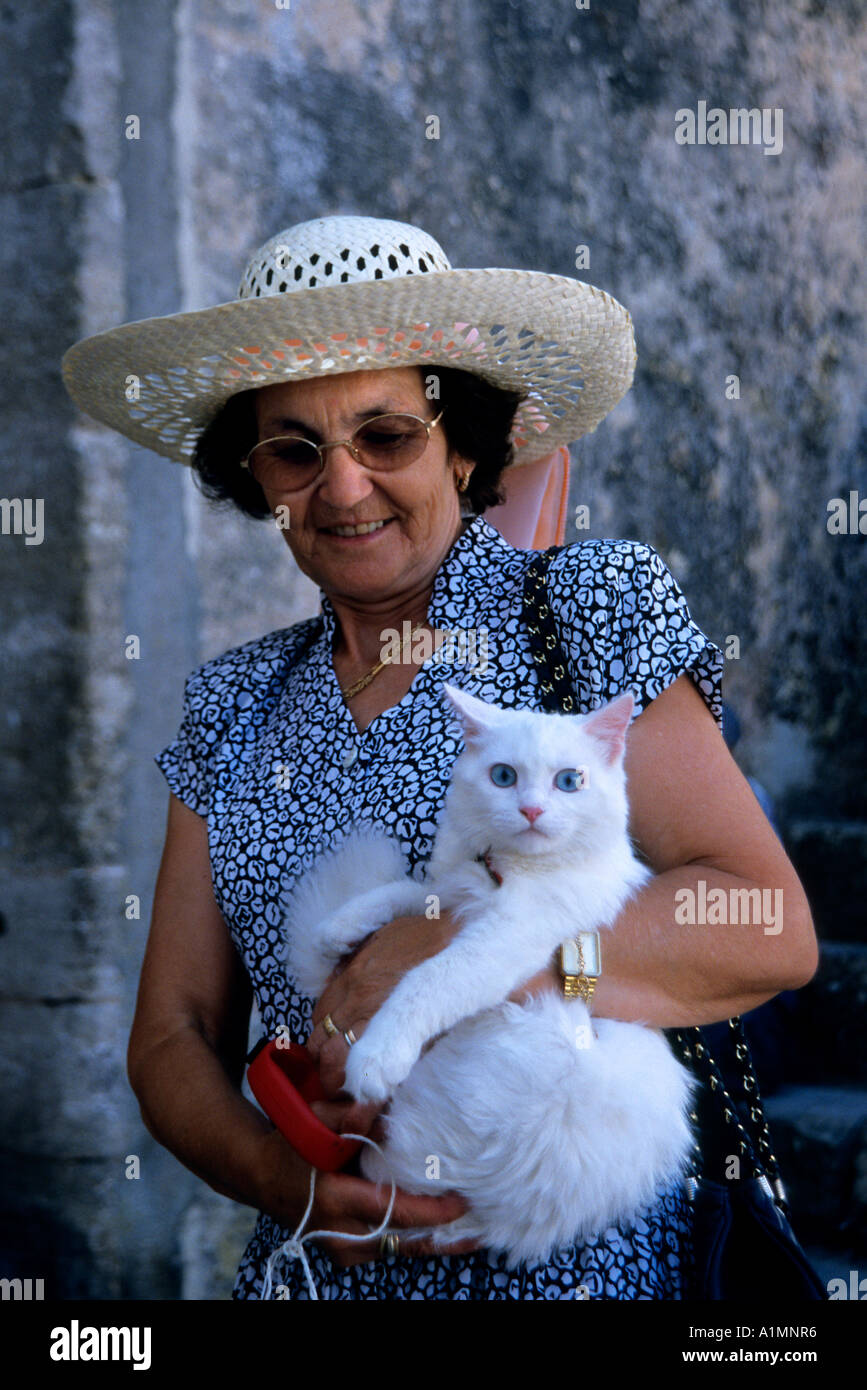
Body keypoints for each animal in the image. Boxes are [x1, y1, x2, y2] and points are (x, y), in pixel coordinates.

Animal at [287, 686, 694, 1273]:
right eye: (503, 776)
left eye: (568, 781)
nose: (531, 810)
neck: (509, 870)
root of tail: (497, 1216)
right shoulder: (452, 894)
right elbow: (407, 892)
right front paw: (339, 927)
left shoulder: (504, 940)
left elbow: (427, 980)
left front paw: (377, 1056)